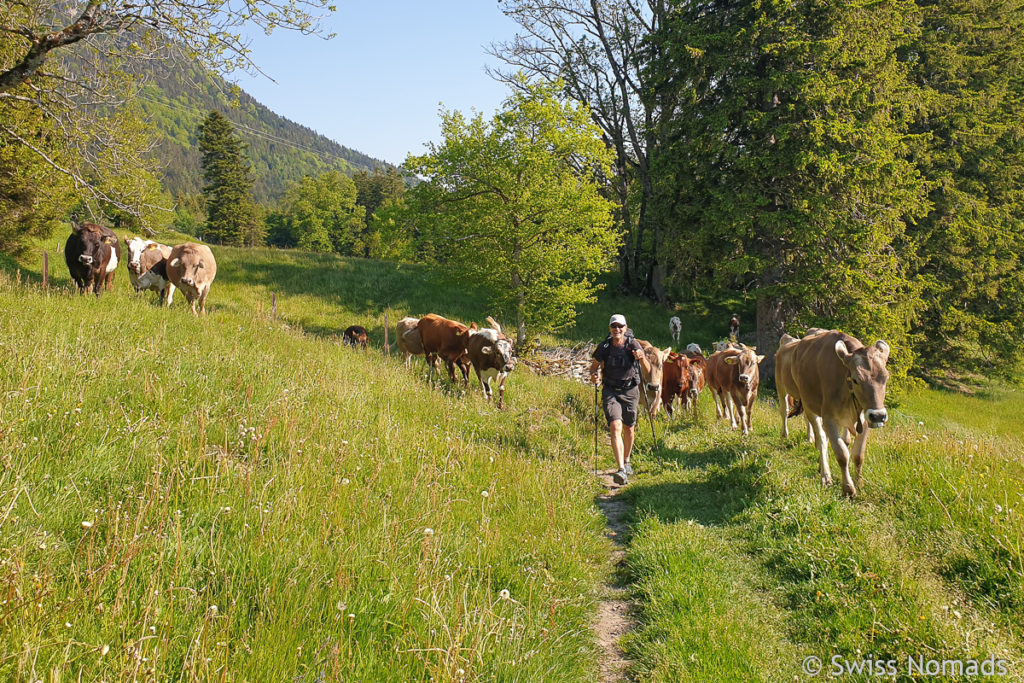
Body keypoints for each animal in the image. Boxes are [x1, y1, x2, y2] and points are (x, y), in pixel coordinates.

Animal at [774, 329, 888, 497]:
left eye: (886, 378)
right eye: (856, 380)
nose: (879, 415)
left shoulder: (866, 420)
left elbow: (858, 455)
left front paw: (859, 483)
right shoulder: (829, 418)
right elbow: (842, 453)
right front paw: (848, 488)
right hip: (793, 394)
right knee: (816, 434)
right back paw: (824, 475)